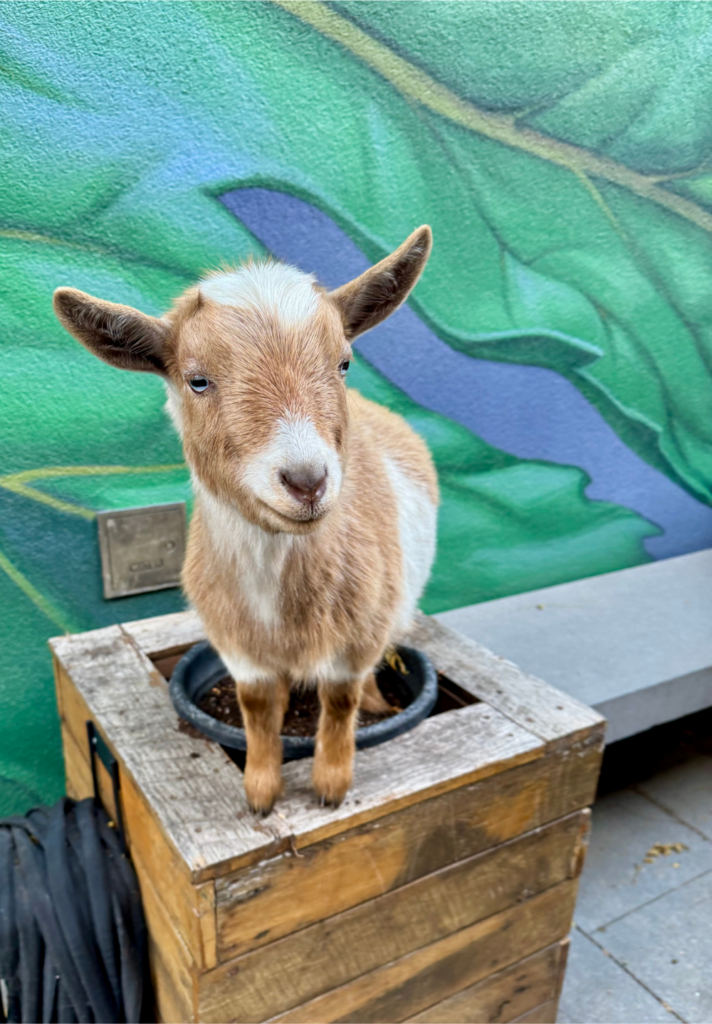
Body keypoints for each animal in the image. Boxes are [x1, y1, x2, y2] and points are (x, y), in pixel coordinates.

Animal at [53, 226, 438, 813]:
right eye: (197, 380)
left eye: (344, 363)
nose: (307, 481)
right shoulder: (234, 643)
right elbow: (256, 705)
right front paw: (260, 790)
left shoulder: (357, 636)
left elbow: (340, 699)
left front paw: (330, 784)